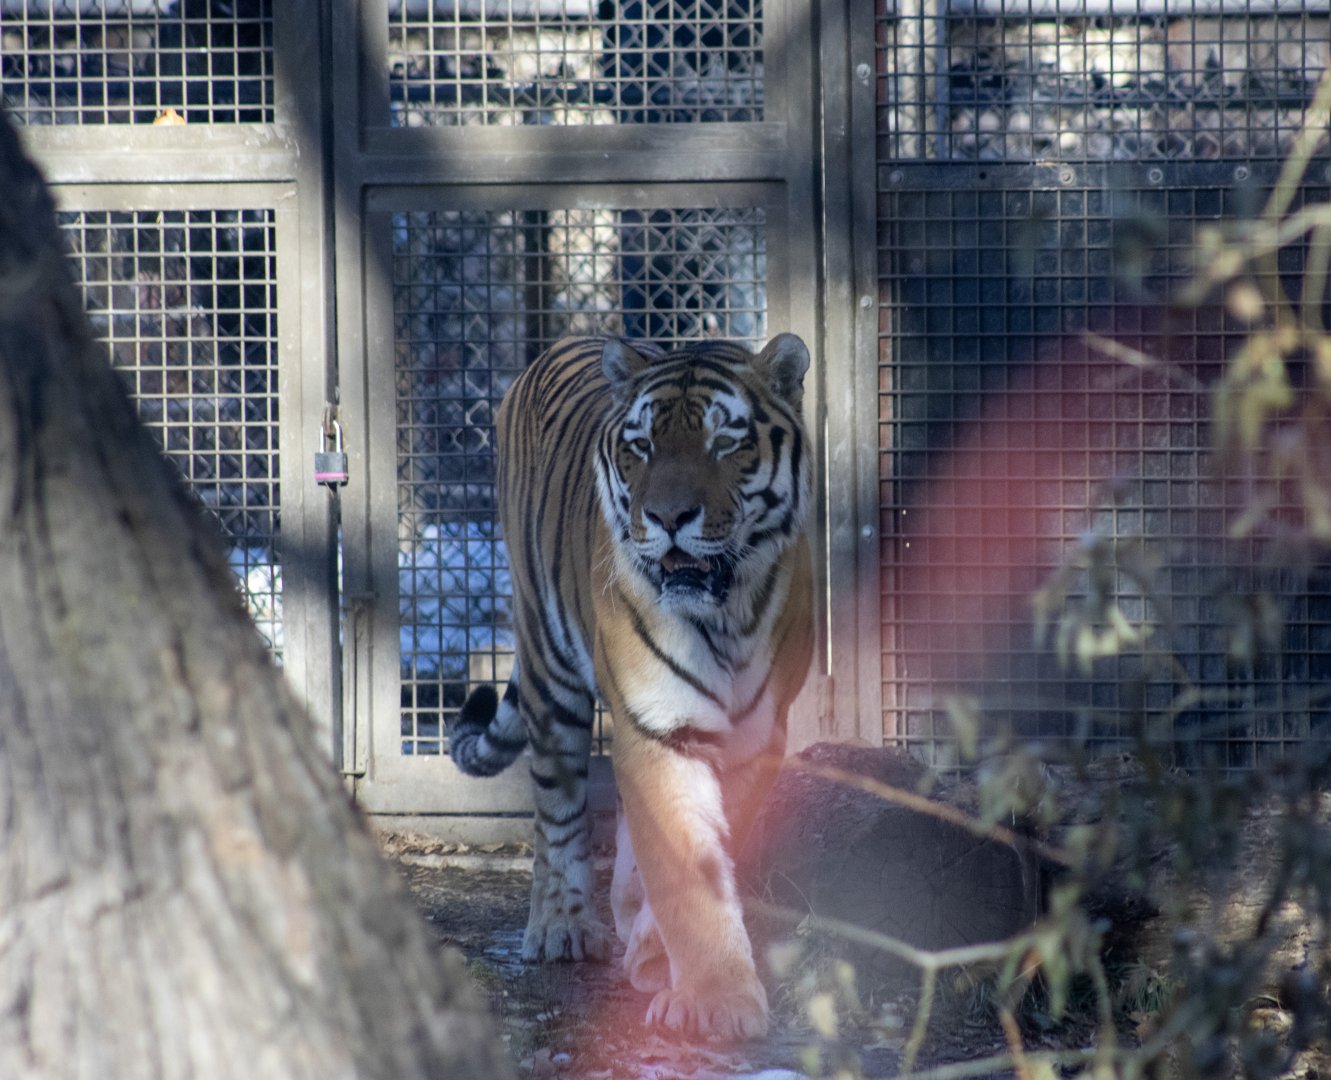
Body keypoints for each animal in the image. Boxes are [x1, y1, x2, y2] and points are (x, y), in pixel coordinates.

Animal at [449, 334, 813, 1040]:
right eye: (640, 446)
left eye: (724, 442)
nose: (668, 517)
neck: (725, 614)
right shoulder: (658, 725)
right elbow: (683, 864)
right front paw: (718, 999)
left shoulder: (757, 738)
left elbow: (693, 853)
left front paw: (659, 957)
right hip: (549, 667)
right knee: (556, 809)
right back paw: (561, 926)